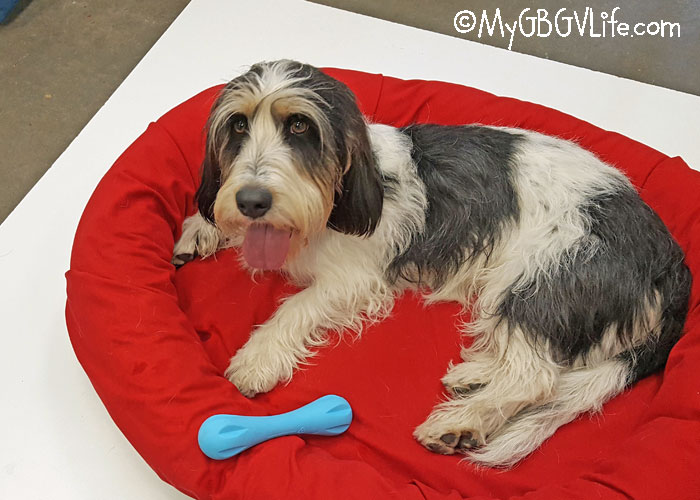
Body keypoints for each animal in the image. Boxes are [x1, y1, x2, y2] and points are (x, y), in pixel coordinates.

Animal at [172, 60, 691, 467]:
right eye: (238, 126)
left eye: (299, 127)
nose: (252, 200)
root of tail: (671, 261)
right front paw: (202, 227)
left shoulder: (353, 279)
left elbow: (296, 305)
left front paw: (257, 357)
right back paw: (474, 375)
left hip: (539, 276)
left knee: (536, 376)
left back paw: (462, 421)